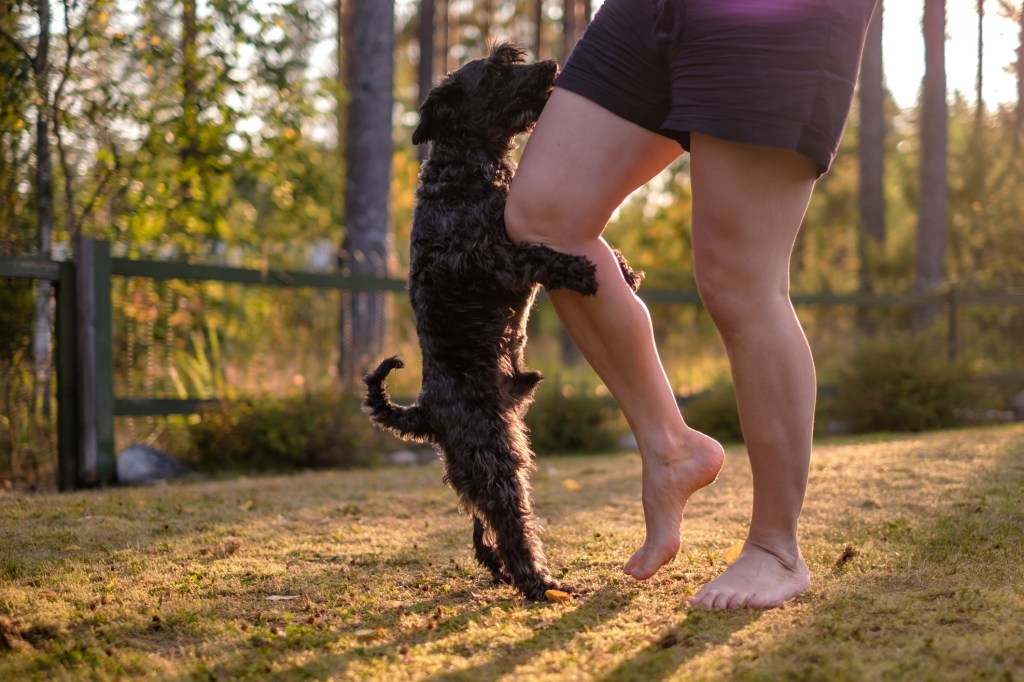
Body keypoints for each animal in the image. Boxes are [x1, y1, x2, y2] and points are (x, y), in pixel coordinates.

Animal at [364, 42, 643, 598]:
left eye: (511, 57)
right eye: (495, 72)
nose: (550, 67)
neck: (464, 172)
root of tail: (424, 411)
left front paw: (622, 268)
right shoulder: (489, 259)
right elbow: (538, 254)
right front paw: (582, 270)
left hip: (473, 467)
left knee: (481, 525)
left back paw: (499, 569)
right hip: (494, 458)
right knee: (510, 521)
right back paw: (538, 582)